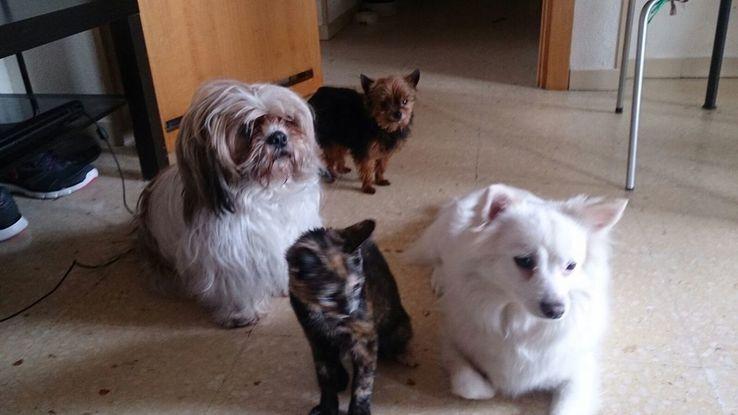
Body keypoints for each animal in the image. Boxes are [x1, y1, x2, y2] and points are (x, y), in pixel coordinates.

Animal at [137, 80, 323, 328]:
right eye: (246, 129)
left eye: (286, 119)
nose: (278, 136)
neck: (266, 192)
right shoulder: (230, 255)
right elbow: (236, 286)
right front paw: (242, 314)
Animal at [287, 219, 413, 415]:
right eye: (329, 296)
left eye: (356, 287)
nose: (350, 311)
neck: (327, 319)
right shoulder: (316, 337)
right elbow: (325, 375)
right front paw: (327, 407)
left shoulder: (365, 339)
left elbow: (363, 383)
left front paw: (359, 410)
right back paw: (341, 376)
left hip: (398, 329)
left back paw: (404, 356)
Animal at [407, 184, 627, 415]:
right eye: (525, 261)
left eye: (571, 266)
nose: (557, 311)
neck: (520, 320)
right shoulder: (451, 340)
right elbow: (470, 386)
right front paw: (487, 387)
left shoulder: (580, 370)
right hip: (443, 239)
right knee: (438, 259)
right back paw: (440, 278)